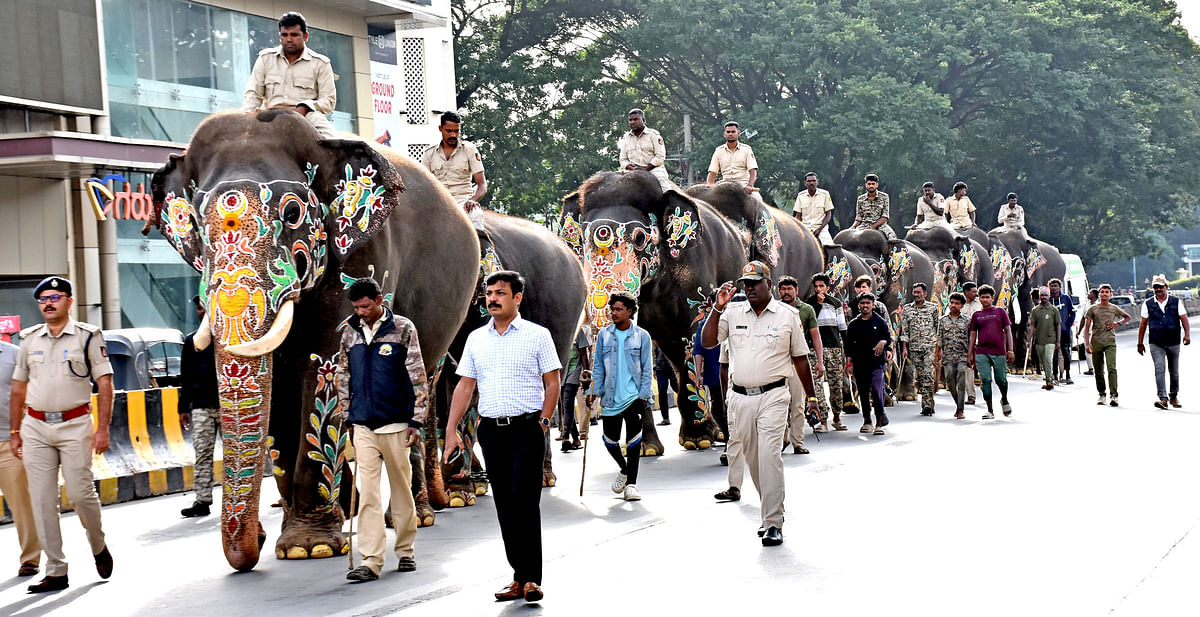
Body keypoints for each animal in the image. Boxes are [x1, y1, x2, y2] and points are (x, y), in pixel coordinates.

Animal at [152, 109, 480, 566]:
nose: (256, 538)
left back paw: (414, 517)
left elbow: (325, 366)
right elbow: (282, 387)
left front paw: (311, 547)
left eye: (292, 214)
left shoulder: (364, 256)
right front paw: (301, 540)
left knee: (421, 387)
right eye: (197, 225)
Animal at [559, 172, 825, 451]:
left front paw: (698, 441)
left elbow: (691, 338)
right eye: (581, 242)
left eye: (640, 239)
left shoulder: (694, 272)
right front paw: (646, 449)